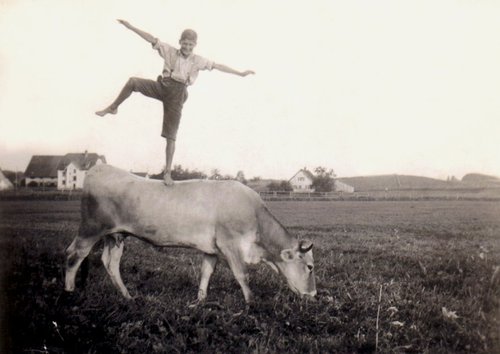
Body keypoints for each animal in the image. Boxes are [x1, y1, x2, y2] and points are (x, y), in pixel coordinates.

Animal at [64, 165, 316, 302]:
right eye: (310, 266)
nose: (313, 294)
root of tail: (100, 168)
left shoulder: (211, 249)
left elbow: (206, 273)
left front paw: (200, 301)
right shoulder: (230, 245)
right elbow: (242, 275)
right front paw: (251, 304)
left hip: (116, 235)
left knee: (110, 262)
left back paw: (127, 296)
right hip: (90, 228)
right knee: (74, 255)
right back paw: (70, 292)